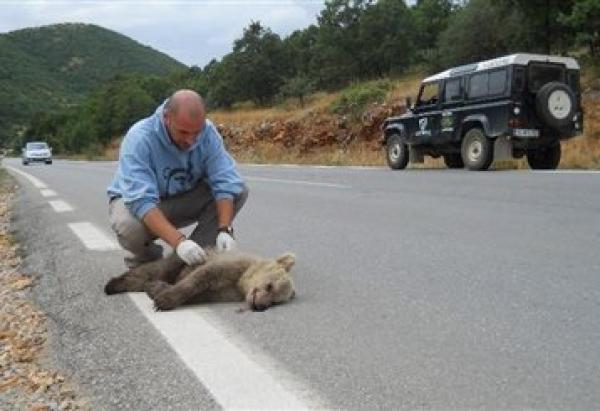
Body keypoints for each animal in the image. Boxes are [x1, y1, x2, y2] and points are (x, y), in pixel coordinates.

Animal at [106, 249, 298, 314]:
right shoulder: (228, 266)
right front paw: (163, 300)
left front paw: (157, 290)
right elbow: (201, 277)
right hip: (178, 261)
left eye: (275, 302)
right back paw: (112, 285)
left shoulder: (226, 293)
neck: (241, 282)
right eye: (270, 286)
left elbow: (202, 295)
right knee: (152, 270)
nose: (261, 306)